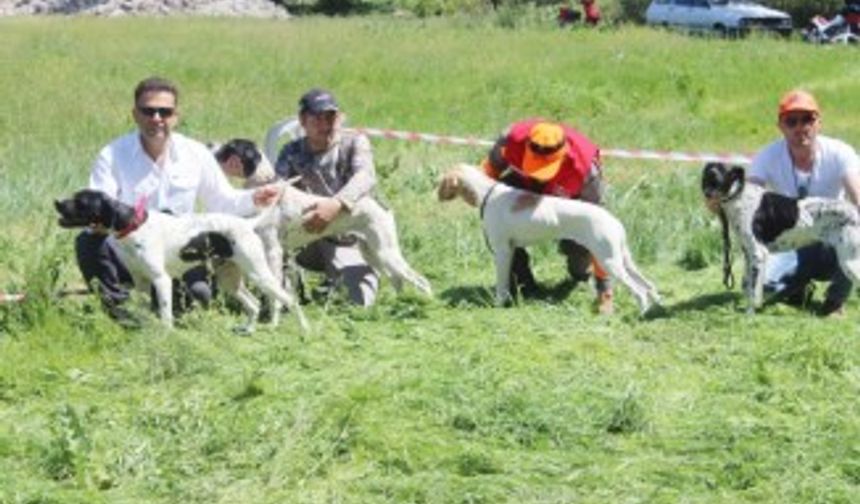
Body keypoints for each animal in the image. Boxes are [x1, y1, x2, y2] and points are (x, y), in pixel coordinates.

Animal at [54, 189, 310, 334]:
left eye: (81, 201)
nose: (56, 202)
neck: (135, 227)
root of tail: (246, 223)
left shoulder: (161, 280)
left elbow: (166, 314)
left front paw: (167, 336)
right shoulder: (141, 283)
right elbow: (145, 311)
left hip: (259, 274)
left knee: (290, 300)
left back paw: (304, 330)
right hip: (230, 280)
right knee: (254, 305)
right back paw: (248, 330)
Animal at [704, 161, 856, 312]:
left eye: (718, 179)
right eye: (706, 177)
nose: (706, 194)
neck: (740, 196)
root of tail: (855, 212)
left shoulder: (758, 253)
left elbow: (753, 291)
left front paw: (749, 313)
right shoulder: (748, 254)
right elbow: (747, 285)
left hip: (849, 262)